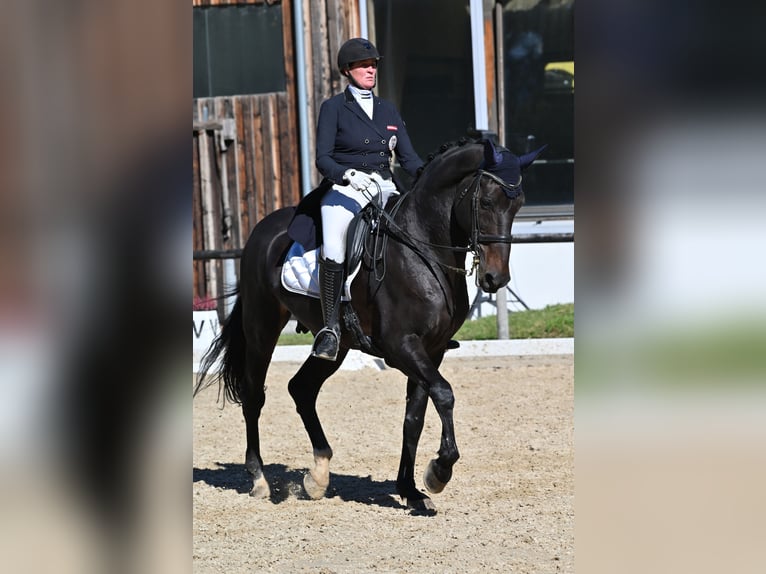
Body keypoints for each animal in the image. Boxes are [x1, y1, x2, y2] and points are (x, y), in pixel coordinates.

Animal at [198, 138, 544, 512]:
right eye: (485, 201)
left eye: (518, 204)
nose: (496, 279)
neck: (422, 248)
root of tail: (262, 229)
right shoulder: (401, 346)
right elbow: (444, 394)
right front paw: (439, 472)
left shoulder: (431, 350)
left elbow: (415, 417)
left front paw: (411, 490)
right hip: (262, 327)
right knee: (254, 395)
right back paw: (259, 479)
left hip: (338, 345)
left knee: (302, 388)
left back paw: (318, 476)